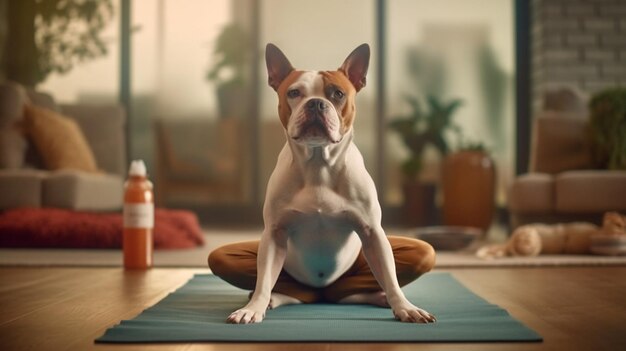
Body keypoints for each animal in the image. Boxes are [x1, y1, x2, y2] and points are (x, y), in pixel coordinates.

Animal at [210, 44, 434, 324]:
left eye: (338, 94)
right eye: (294, 93)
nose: (316, 103)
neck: (318, 163)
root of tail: (321, 295)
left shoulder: (373, 233)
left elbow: (391, 278)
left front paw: (405, 307)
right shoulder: (274, 234)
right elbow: (263, 281)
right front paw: (253, 308)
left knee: (358, 288)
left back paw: (380, 298)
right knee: (281, 287)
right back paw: (272, 299)